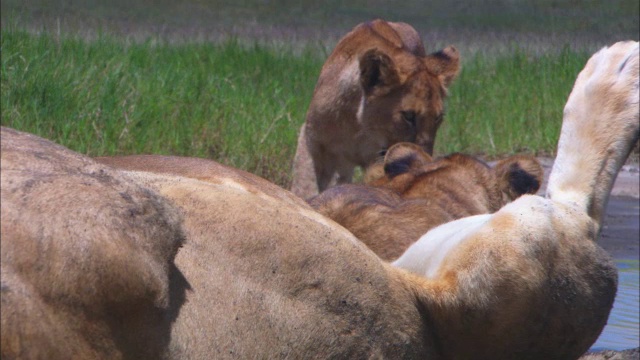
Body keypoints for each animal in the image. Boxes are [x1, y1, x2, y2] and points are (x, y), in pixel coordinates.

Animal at [290, 19, 460, 200]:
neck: (357, 127)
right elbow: (304, 184)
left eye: (438, 118)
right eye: (408, 116)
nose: (426, 159)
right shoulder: (311, 139)